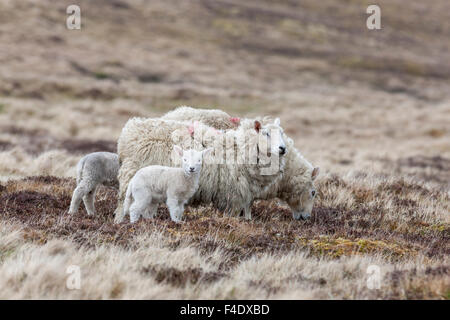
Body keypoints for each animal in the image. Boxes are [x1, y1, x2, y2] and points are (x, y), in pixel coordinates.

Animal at [114, 116, 286, 224]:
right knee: (124, 205)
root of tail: (129, 131)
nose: (283, 148)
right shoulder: (233, 194)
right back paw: (120, 222)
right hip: (132, 179)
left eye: (282, 132)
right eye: (266, 133)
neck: (241, 150)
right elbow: (233, 215)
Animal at [158, 107, 320, 220]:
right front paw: (246, 220)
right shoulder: (239, 189)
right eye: (313, 192)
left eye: (281, 133)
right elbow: (244, 207)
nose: (306, 218)